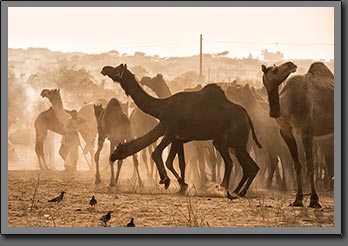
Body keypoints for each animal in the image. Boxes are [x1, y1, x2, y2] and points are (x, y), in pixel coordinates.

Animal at [100, 64, 260, 197]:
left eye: (116, 70)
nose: (104, 69)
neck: (161, 107)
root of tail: (247, 116)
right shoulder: (175, 136)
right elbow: (175, 161)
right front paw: (182, 185)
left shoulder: (170, 132)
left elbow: (157, 154)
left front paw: (166, 180)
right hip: (237, 144)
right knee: (251, 166)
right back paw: (238, 191)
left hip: (227, 140)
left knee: (232, 163)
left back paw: (223, 188)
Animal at [260, 61, 334, 208]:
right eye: (275, 70)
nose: (291, 64)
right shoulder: (285, 131)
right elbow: (297, 164)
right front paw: (298, 199)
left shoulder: (306, 130)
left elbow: (310, 164)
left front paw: (314, 200)